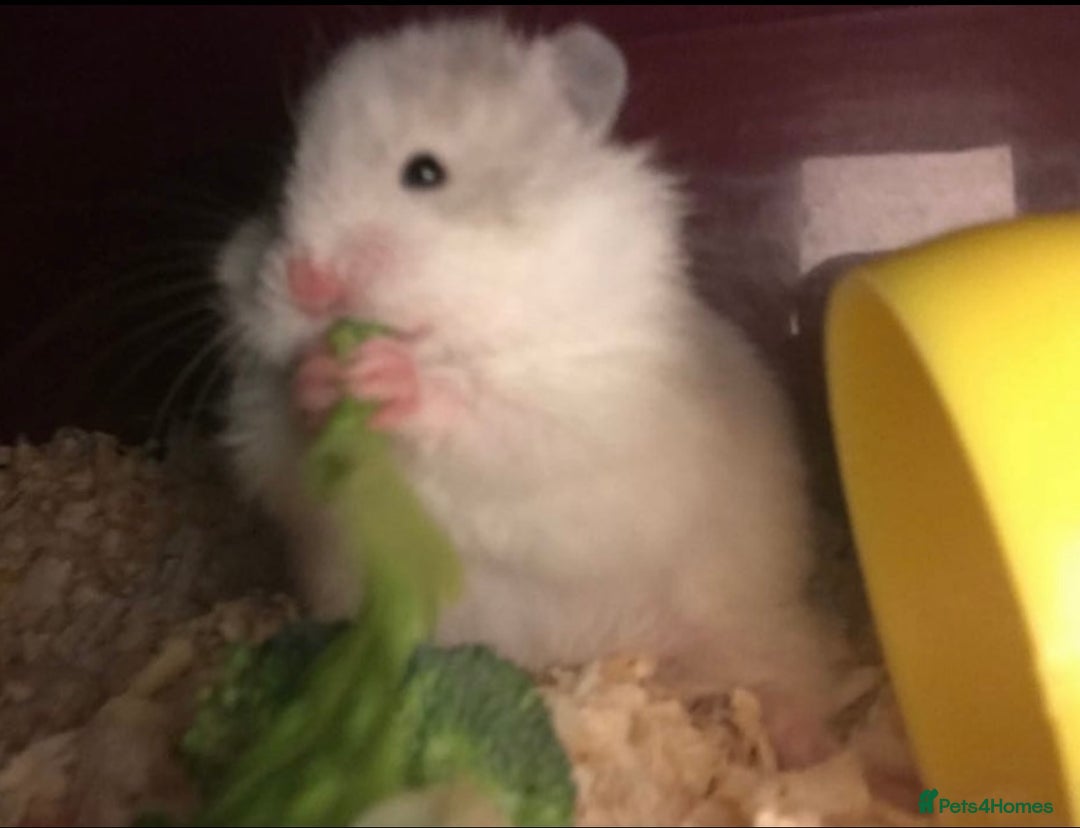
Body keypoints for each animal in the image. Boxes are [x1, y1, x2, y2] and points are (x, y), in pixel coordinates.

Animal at [215, 17, 853, 767]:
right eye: (279, 183)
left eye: (424, 172)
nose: (307, 283)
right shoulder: (270, 448)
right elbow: (289, 453)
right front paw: (318, 378)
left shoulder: (589, 412)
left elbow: (497, 421)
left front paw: (388, 377)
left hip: (745, 614)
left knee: (788, 667)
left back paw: (802, 745)